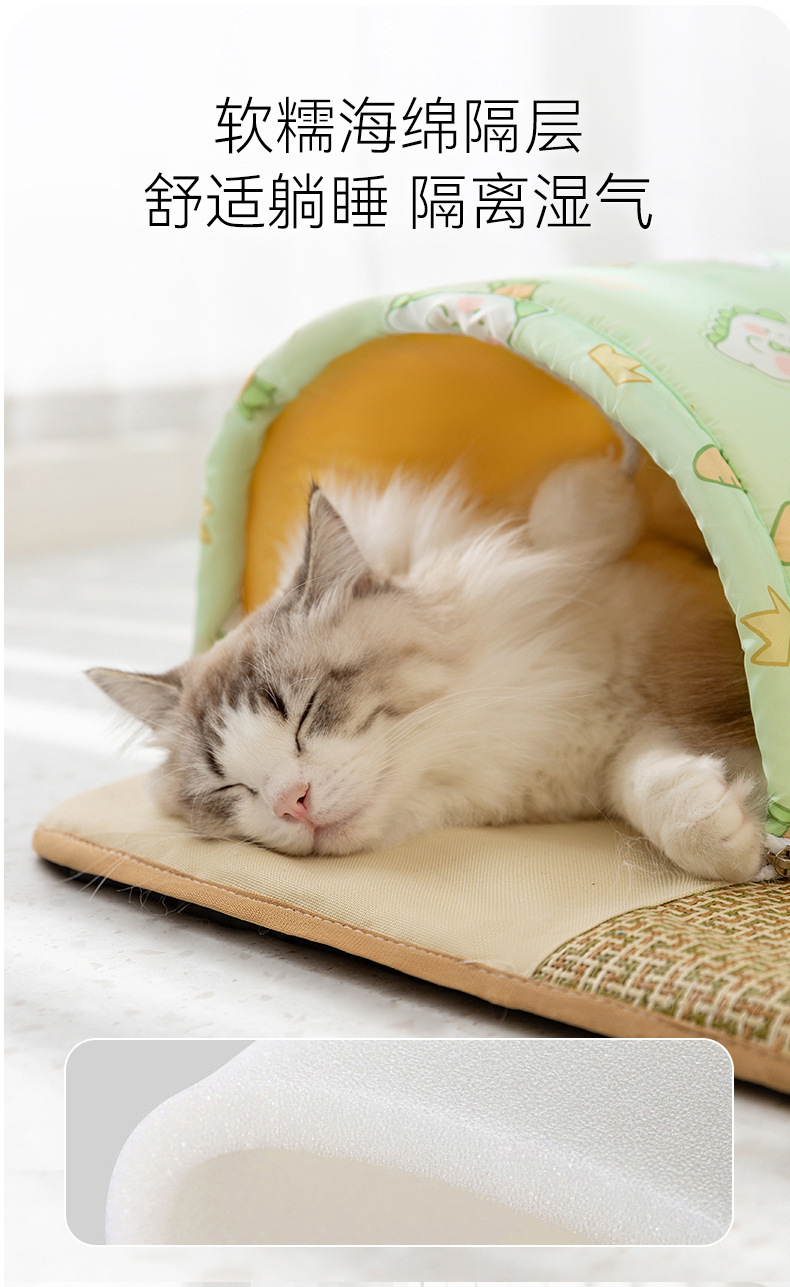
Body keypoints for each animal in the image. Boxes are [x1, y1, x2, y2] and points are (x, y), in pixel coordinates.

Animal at [88, 455, 766, 882]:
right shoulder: (616, 747)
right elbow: (655, 785)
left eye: (305, 714)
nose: (291, 805)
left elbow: (575, 519)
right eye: (229, 788)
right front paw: (737, 840)